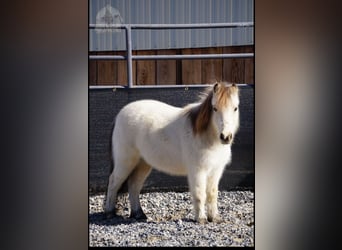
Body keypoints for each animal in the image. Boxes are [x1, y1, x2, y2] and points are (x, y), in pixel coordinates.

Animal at [104, 82, 240, 225]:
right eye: (214, 108)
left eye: (235, 108)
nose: (225, 137)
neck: (206, 136)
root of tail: (119, 115)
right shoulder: (198, 171)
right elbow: (200, 194)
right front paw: (201, 219)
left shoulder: (215, 171)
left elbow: (212, 194)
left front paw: (214, 218)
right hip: (125, 162)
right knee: (114, 182)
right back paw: (109, 213)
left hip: (143, 163)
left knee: (134, 185)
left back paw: (139, 214)